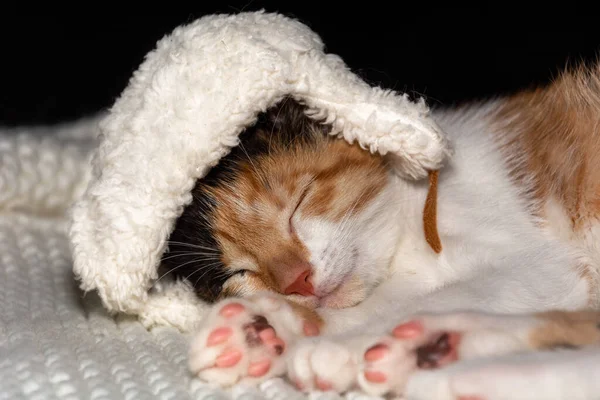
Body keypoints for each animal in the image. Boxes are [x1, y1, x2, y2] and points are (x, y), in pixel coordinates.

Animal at [162, 64, 600, 398]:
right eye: (239, 271)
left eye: (298, 203)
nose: (298, 281)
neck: (411, 223)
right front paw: (269, 329)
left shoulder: (535, 260)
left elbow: (451, 292)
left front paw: (331, 341)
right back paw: (434, 351)